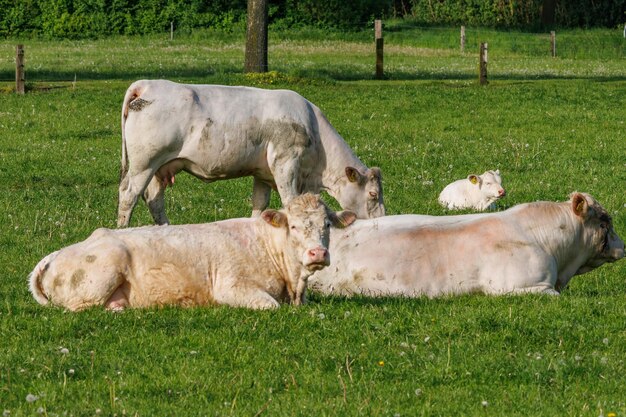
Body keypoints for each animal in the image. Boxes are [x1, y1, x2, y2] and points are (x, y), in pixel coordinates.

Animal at [29, 194, 354, 308]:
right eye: (294, 227)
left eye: (327, 224)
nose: (317, 254)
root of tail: (55, 254)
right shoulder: (231, 286)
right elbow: (270, 305)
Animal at [114, 79, 382, 226]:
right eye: (373, 194)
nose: (382, 220)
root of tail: (146, 85)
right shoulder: (285, 164)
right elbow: (290, 200)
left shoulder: (263, 174)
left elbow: (259, 206)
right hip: (144, 163)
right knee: (129, 195)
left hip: (160, 168)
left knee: (154, 200)